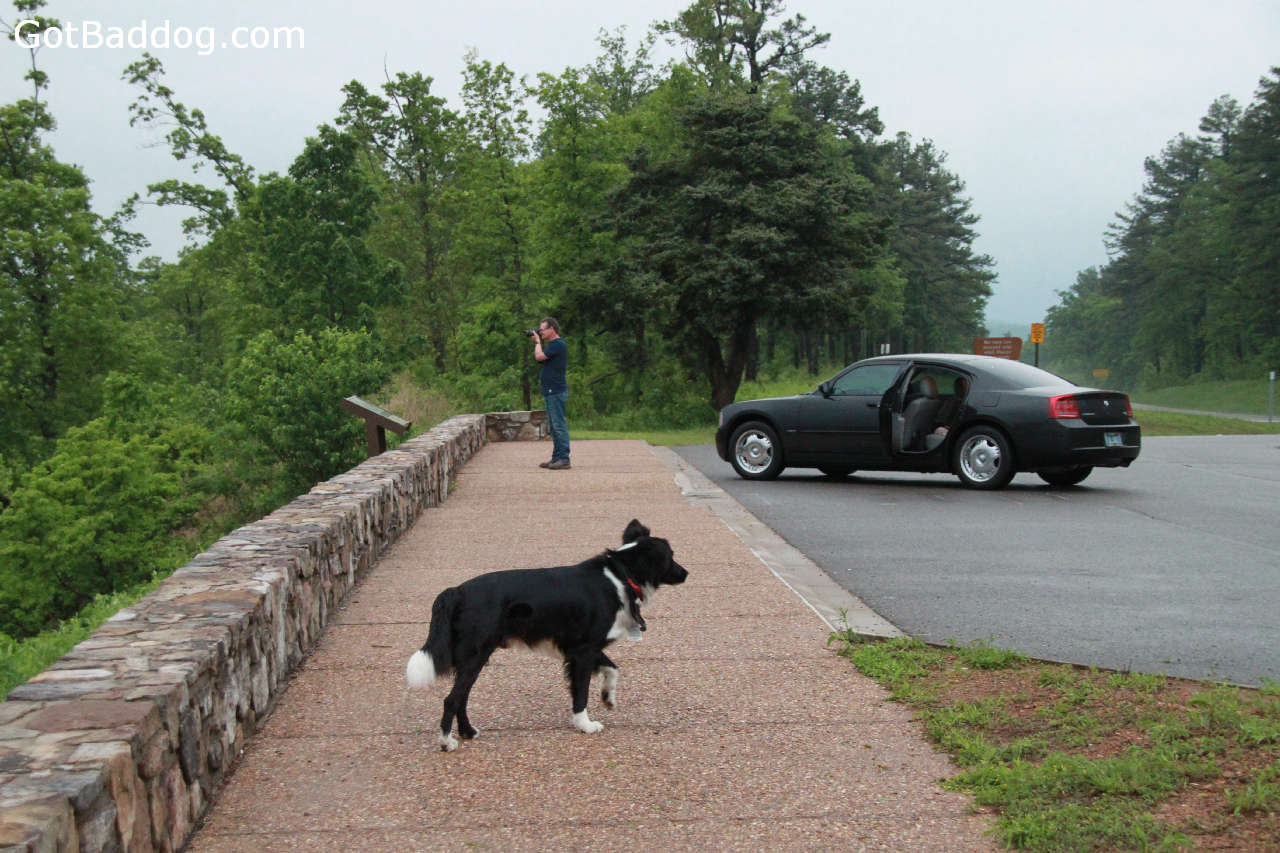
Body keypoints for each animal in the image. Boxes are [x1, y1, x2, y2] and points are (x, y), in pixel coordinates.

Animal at [406, 519, 688, 751]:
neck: (620, 575)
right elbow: (581, 692)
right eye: (671, 556)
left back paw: (467, 732)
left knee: (461, 697)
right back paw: (446, 741)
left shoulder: (580, 647)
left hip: (473, 658)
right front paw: (585, 724)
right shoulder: (583, 651)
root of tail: (456, 591)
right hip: (475, 655)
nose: (686, 573)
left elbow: (612, 669)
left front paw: (608, 697)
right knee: (452, 699)